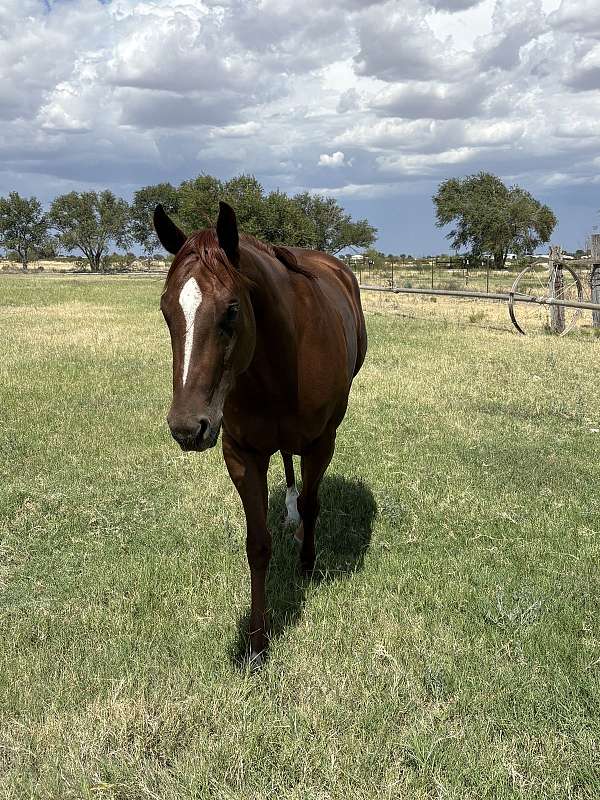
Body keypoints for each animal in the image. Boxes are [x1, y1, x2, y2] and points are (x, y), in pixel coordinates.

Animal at [155, 201, 367, 663]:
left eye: (232, 310)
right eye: (165, 309)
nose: (187, 428)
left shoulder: (321, 443)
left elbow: (313, 504)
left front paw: (307, 565)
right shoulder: (241, 454)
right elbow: (257, 545)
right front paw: (256, 640)